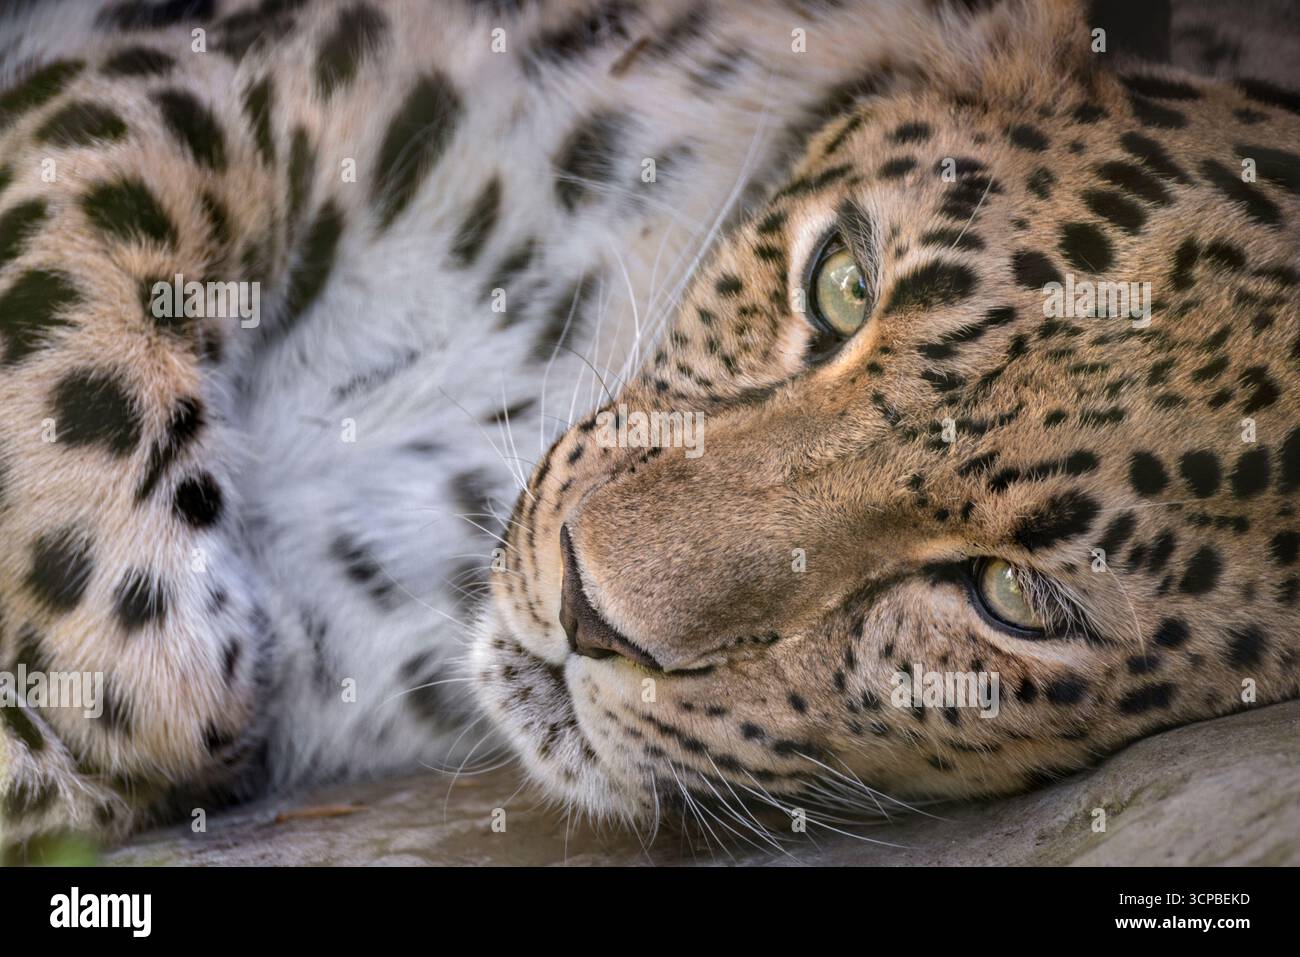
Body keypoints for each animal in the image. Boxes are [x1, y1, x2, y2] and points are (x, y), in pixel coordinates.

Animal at [0, 0, 1296, 855]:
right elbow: (78, 226)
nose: (588, 610)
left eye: (1016, 598)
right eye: (841, 283)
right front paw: (127, 667)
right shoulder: (221, 58)